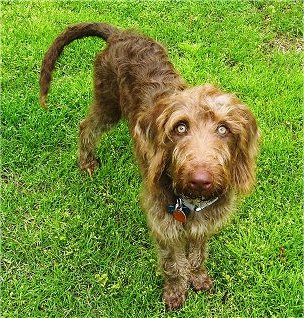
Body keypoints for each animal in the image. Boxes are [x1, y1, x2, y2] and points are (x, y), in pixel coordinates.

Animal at [39, 23, 260, 310]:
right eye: (180, 127)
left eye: (224, 129)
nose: (201, 180)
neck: (190, 202)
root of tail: (119, 34)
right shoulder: (163, 226)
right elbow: (173, 265)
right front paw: (175, 292)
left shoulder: (206, 222)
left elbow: (198, 255)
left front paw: (198, 278)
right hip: (108, 102)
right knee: (86, 126)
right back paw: (86, 161)